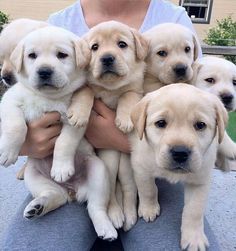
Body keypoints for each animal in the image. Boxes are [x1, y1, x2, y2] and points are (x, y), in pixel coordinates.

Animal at [0, 26, 117, 240]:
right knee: (56, 195)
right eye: (32, 56)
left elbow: (65, 142)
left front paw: (61, 168)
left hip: (98, 170)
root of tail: (72, 191)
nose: (44, 71)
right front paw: (7, 152)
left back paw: (106, 228)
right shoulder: (10, 101)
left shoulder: (74, 120)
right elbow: (16, 125)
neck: (49, 97)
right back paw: (38, 206)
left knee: (95, 207)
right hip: (33, 175)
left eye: (62, 55)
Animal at [67, 20, 148, 230]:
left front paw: (125, 119)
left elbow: (128, 96)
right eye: (94, 47)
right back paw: (116, 215)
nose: (107, 58)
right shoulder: (86, 87)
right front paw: (79, 114)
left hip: (128, 167)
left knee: (129, 191)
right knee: (111, 193)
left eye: (122, 44)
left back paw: (129, 216)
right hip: (108, 163)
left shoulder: (136, 90)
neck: (111, 88)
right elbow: (86, 92)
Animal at [130, 84, 228, 251]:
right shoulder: (141, 166)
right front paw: (149, 209)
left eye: (200, 125)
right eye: (161, 123)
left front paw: (194, 238)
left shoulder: (200, 181)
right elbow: (148, 189)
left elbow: (194, 210)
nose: (180, 153)